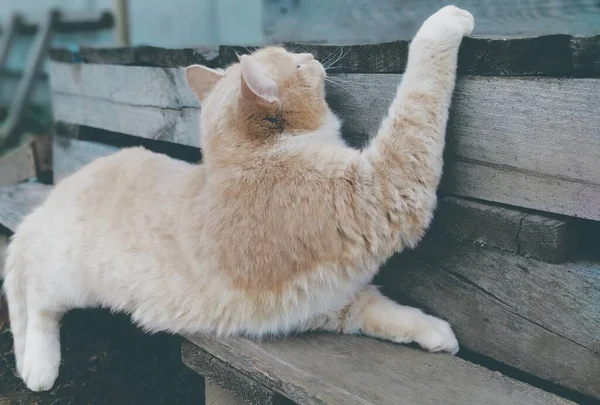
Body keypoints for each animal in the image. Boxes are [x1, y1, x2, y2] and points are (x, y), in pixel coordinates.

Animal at [3, 5, 474, 392]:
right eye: (297, 63)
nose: (313, 56)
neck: (250, 158)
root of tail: (51, 199)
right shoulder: (388, 184)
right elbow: (417, 100)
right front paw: (446, 21)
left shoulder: (328, 302)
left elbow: (384, 312)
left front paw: (434, 333)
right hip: (65, 278)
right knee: (34, 297)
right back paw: (38, 366)